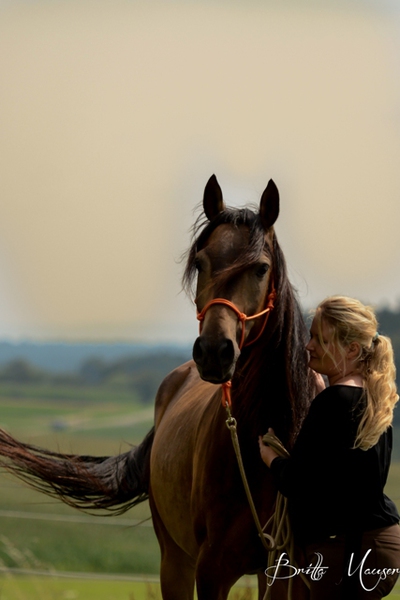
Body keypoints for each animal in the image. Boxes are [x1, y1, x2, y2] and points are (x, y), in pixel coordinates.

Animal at [0, 175, 315, 599]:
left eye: (261, 268)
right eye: (200, 263)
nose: (213, 352)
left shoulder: (283, 570)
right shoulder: (211, 570)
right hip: (174, 559)